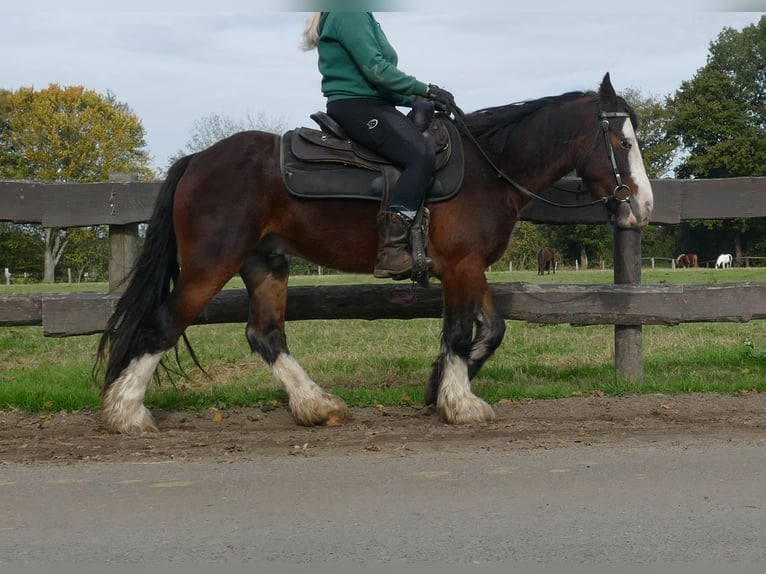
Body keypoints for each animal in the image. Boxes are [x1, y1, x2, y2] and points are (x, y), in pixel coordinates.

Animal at [91, 72, 656, 434]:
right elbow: (460, 332)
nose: (645, 206)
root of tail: (196, 160)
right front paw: (458, 404)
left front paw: (438, 385)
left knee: (266, 335)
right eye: (622, 141)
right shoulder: (462, 266)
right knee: (164, 324)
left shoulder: (470, 267)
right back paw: (126, 414)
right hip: (211, 264)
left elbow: (490, 331)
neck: (489, 169)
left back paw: (316, 406)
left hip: (265, 263)